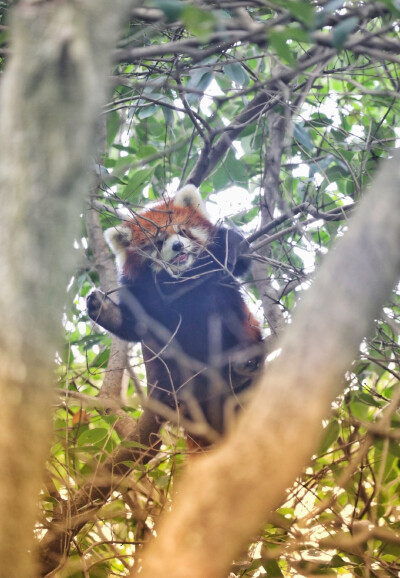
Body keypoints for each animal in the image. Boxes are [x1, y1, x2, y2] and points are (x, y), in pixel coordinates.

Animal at [87, 187, 262, 438]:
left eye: (183, 231)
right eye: (158, 242)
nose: (178, 246)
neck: (179, 281)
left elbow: (237, 253)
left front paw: (230, 250)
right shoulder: (140, 291)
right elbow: (135, 326)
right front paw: (101, 307)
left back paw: (241, 360)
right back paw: (168, 396)